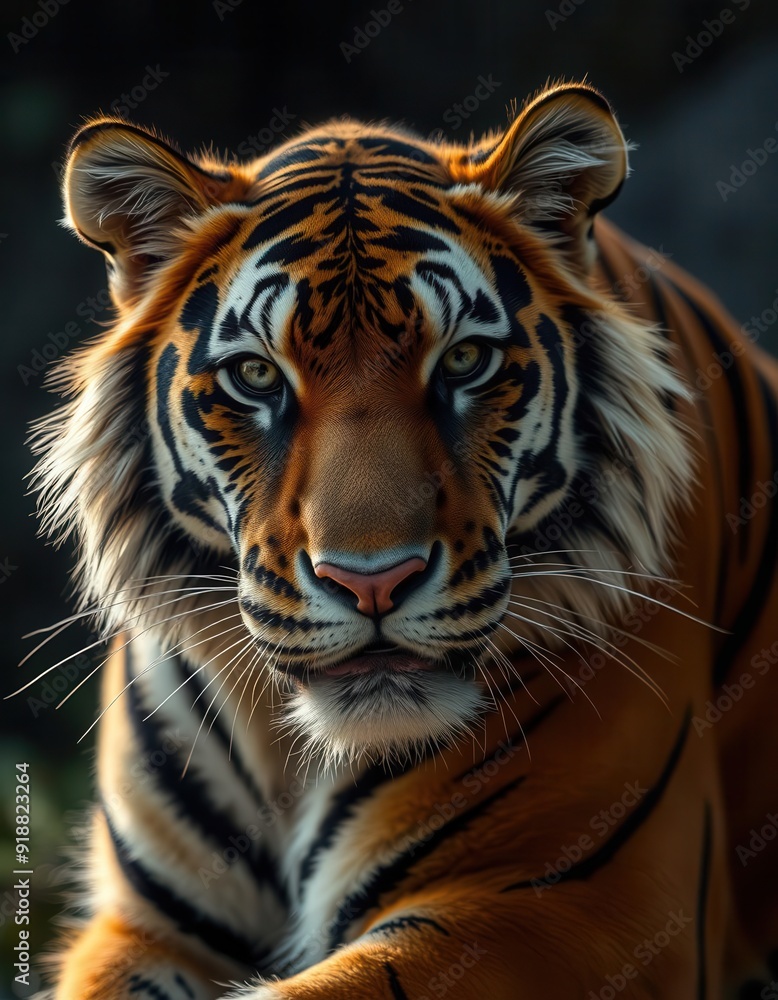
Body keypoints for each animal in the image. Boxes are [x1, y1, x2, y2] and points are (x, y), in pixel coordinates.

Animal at [27, 80, 778, 999]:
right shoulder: (144, 927)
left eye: (463, 363)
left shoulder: (578, 909)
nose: (372, 582)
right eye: (256, 375)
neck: (295, 760)